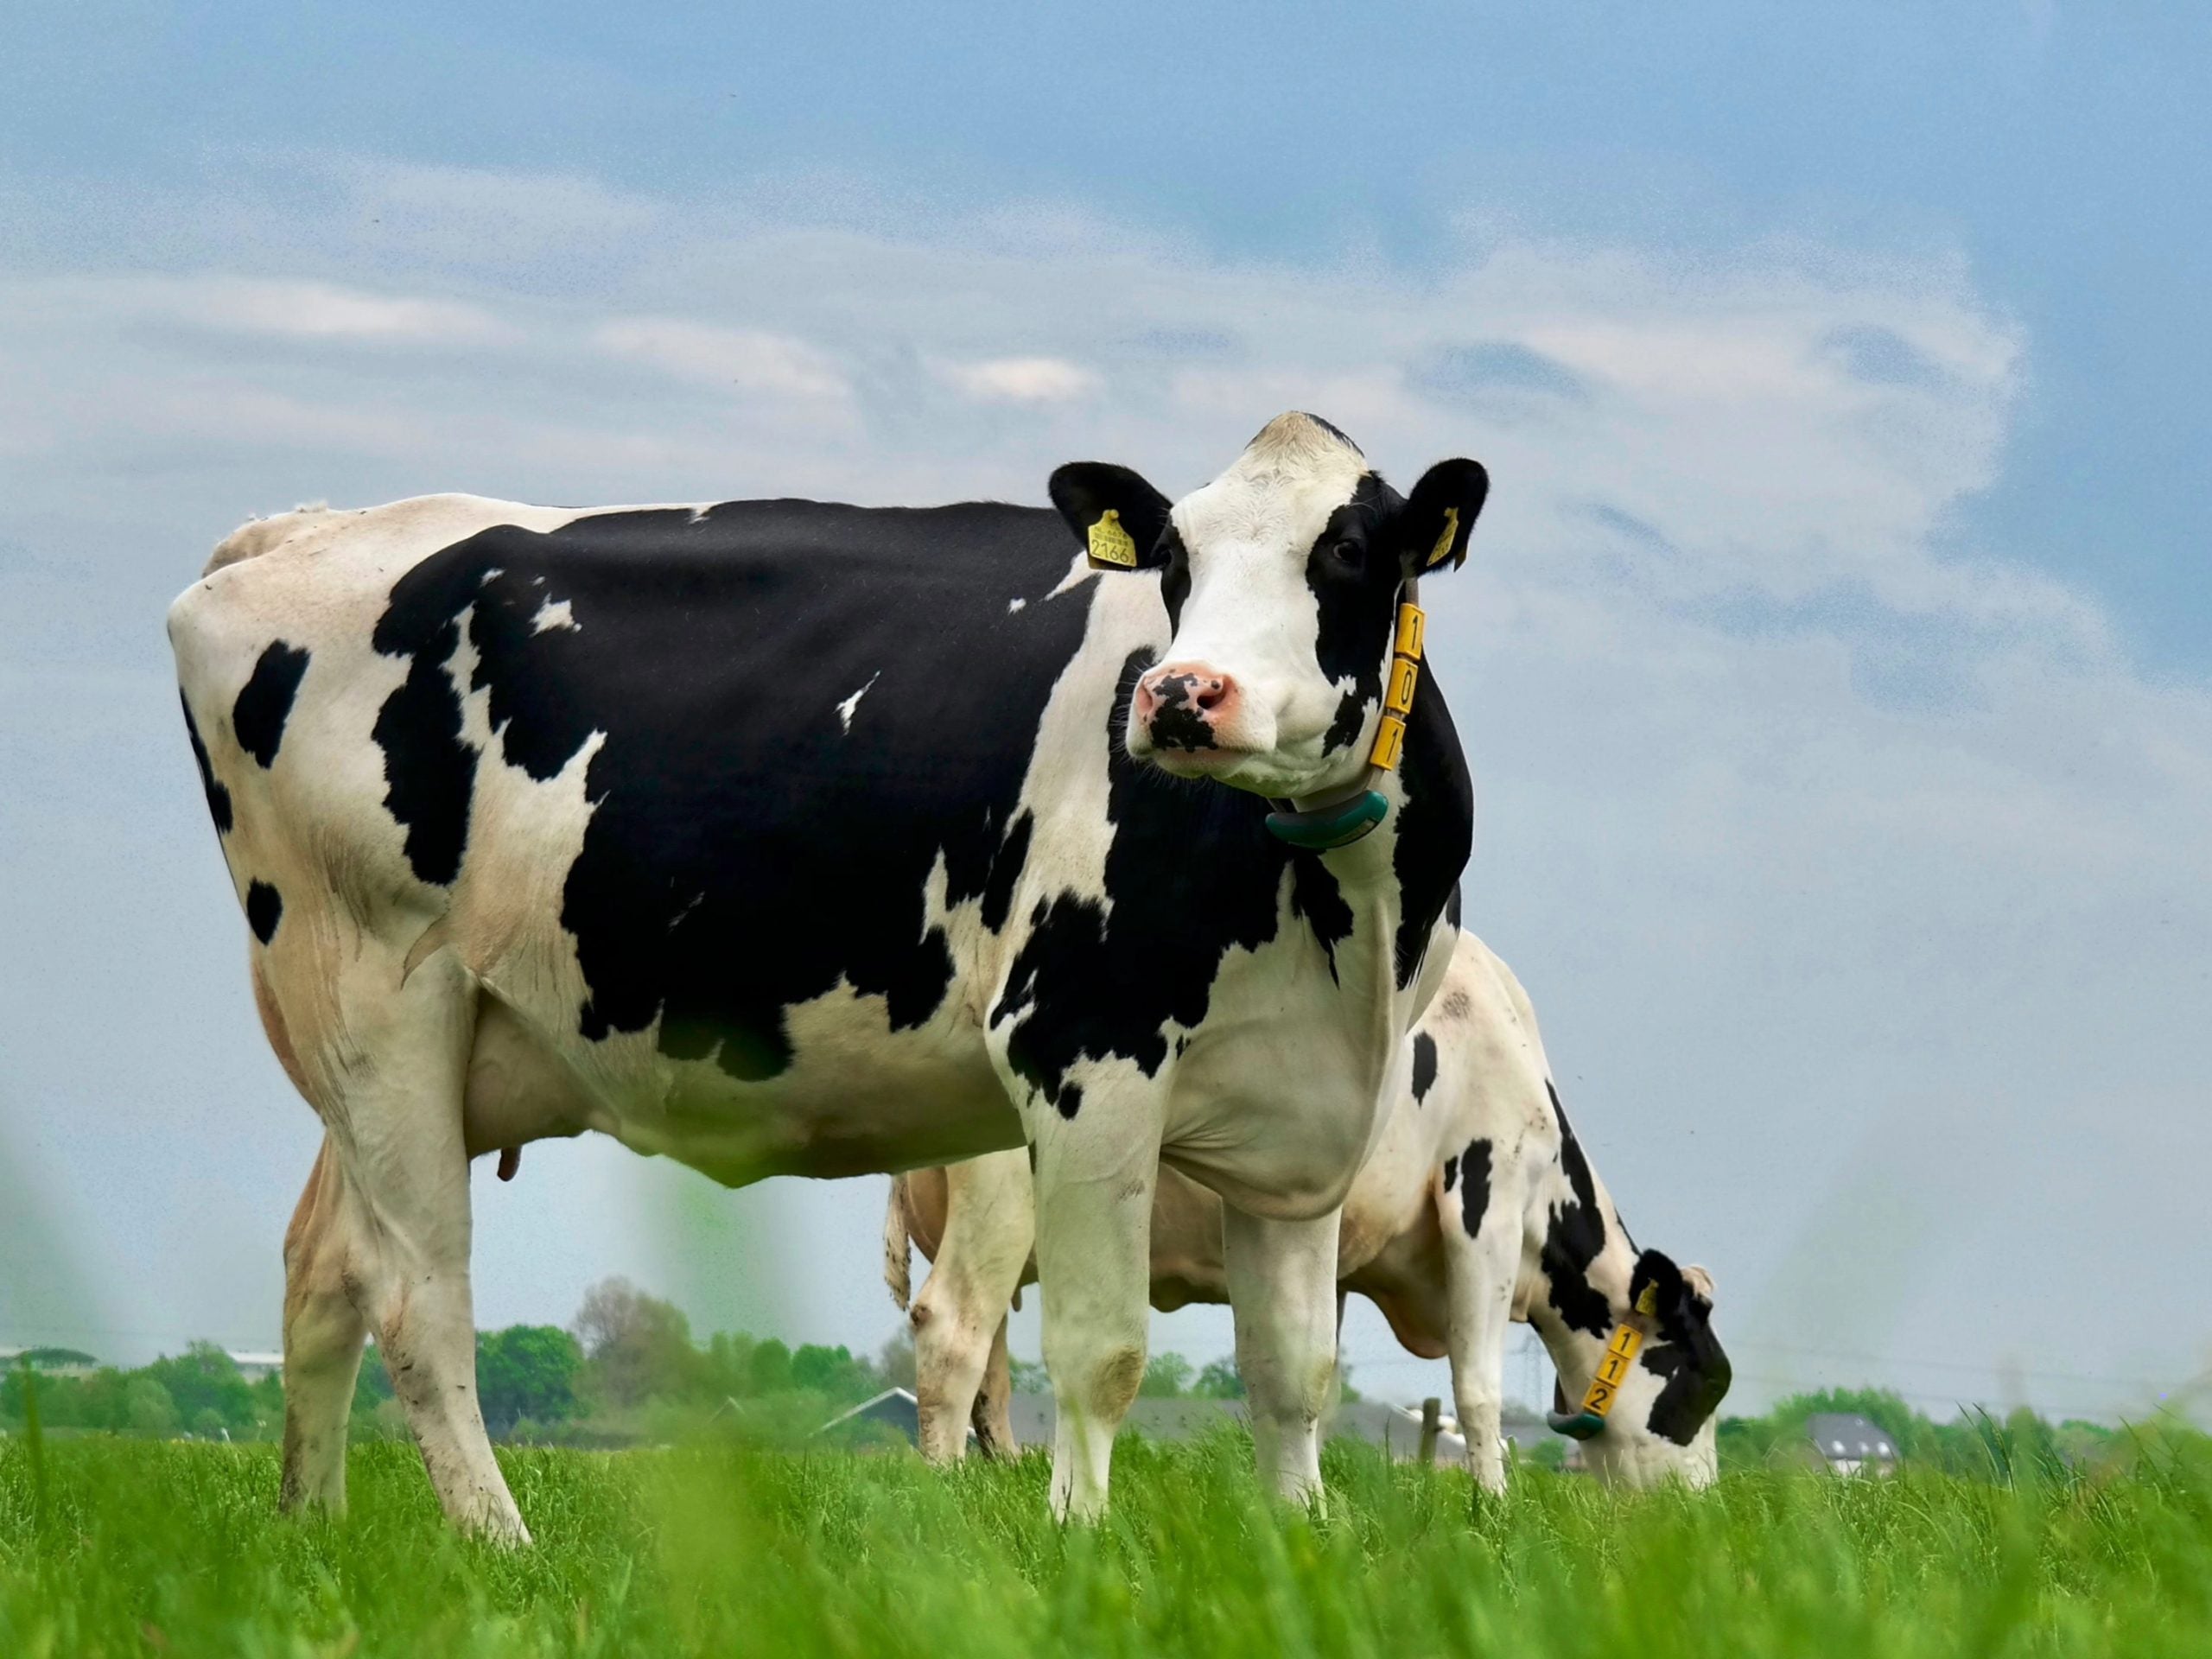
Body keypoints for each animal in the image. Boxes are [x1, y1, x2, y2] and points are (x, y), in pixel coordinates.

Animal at [167, 412, 1486, 1538]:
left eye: (1349, 550)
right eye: (1173, 557)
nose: (1179, 694)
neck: (1341, 921)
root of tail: (303, 531)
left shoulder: (1301, 1116)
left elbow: (1294, 1372)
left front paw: (1298, 1542)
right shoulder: (1081, 1046)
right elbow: (1101, 1350)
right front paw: (1080, 1542)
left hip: (392, 1052)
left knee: (326, 1270)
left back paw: (314, 1523)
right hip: (373, 1000)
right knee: (418, 1298)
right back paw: (502, 1543)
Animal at [886, 929, 1732, 1490]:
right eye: (1702, 1383)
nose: (1702, 1509)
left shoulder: (1345, 1254)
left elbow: (1308, 1374)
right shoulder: (1484, 1206)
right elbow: (1479, 1389)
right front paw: (1494, 1506)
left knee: (991, 1365)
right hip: (1003, 1200)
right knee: (955, 1329)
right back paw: (946, 1489)